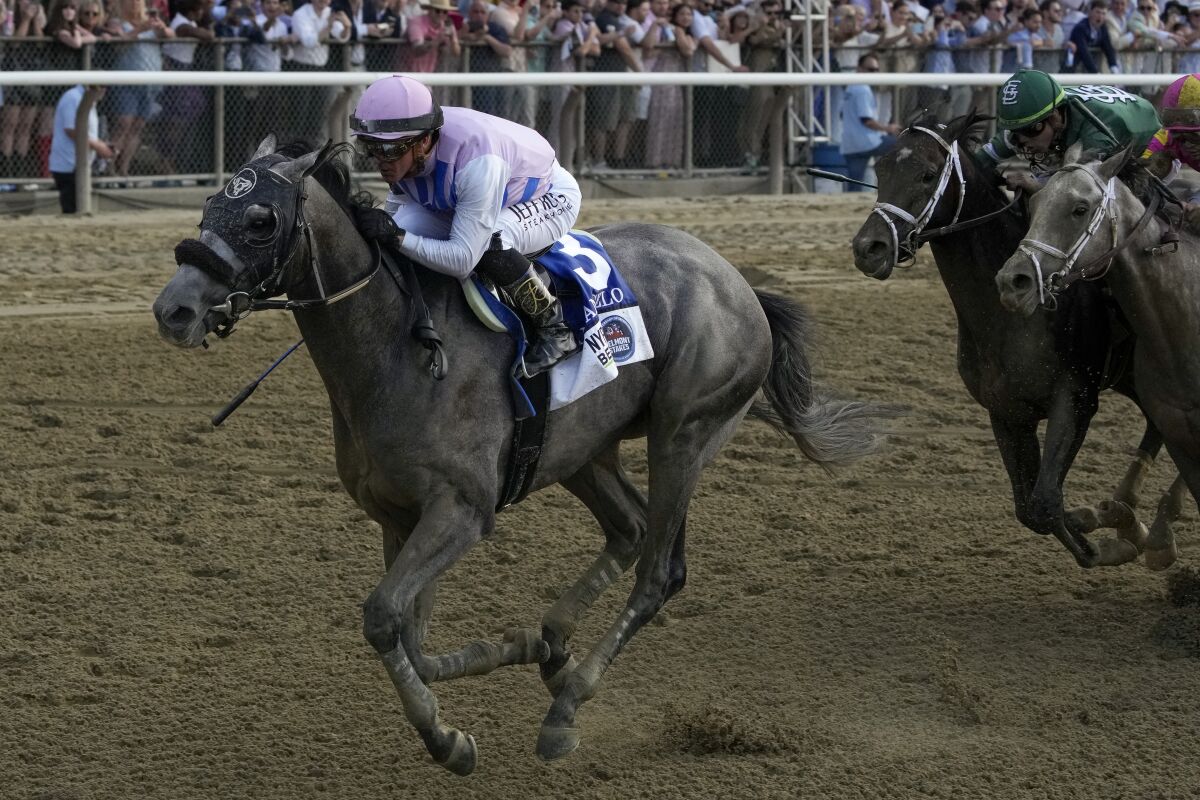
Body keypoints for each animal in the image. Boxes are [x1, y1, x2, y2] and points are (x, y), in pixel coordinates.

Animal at [152, 139, 892, 777]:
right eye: (208, 206)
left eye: (260, 218)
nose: (173, 309)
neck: (397, 347)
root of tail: (737, 282)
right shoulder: (398, 516)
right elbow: (409, 636)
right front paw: (513, 651)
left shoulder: (461, 511)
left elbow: (383, 617)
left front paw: (447, 738)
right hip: (583, 449)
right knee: (628, 528)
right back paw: (556, 646)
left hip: (685, 433)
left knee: (659, 571)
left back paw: (566, 707)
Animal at [993, 143, 1190, 568]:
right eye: (1033, 206)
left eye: (1080, 209)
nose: (1012, 282)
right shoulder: (1006, 411)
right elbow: (1035, 505)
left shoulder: (1075, 398)